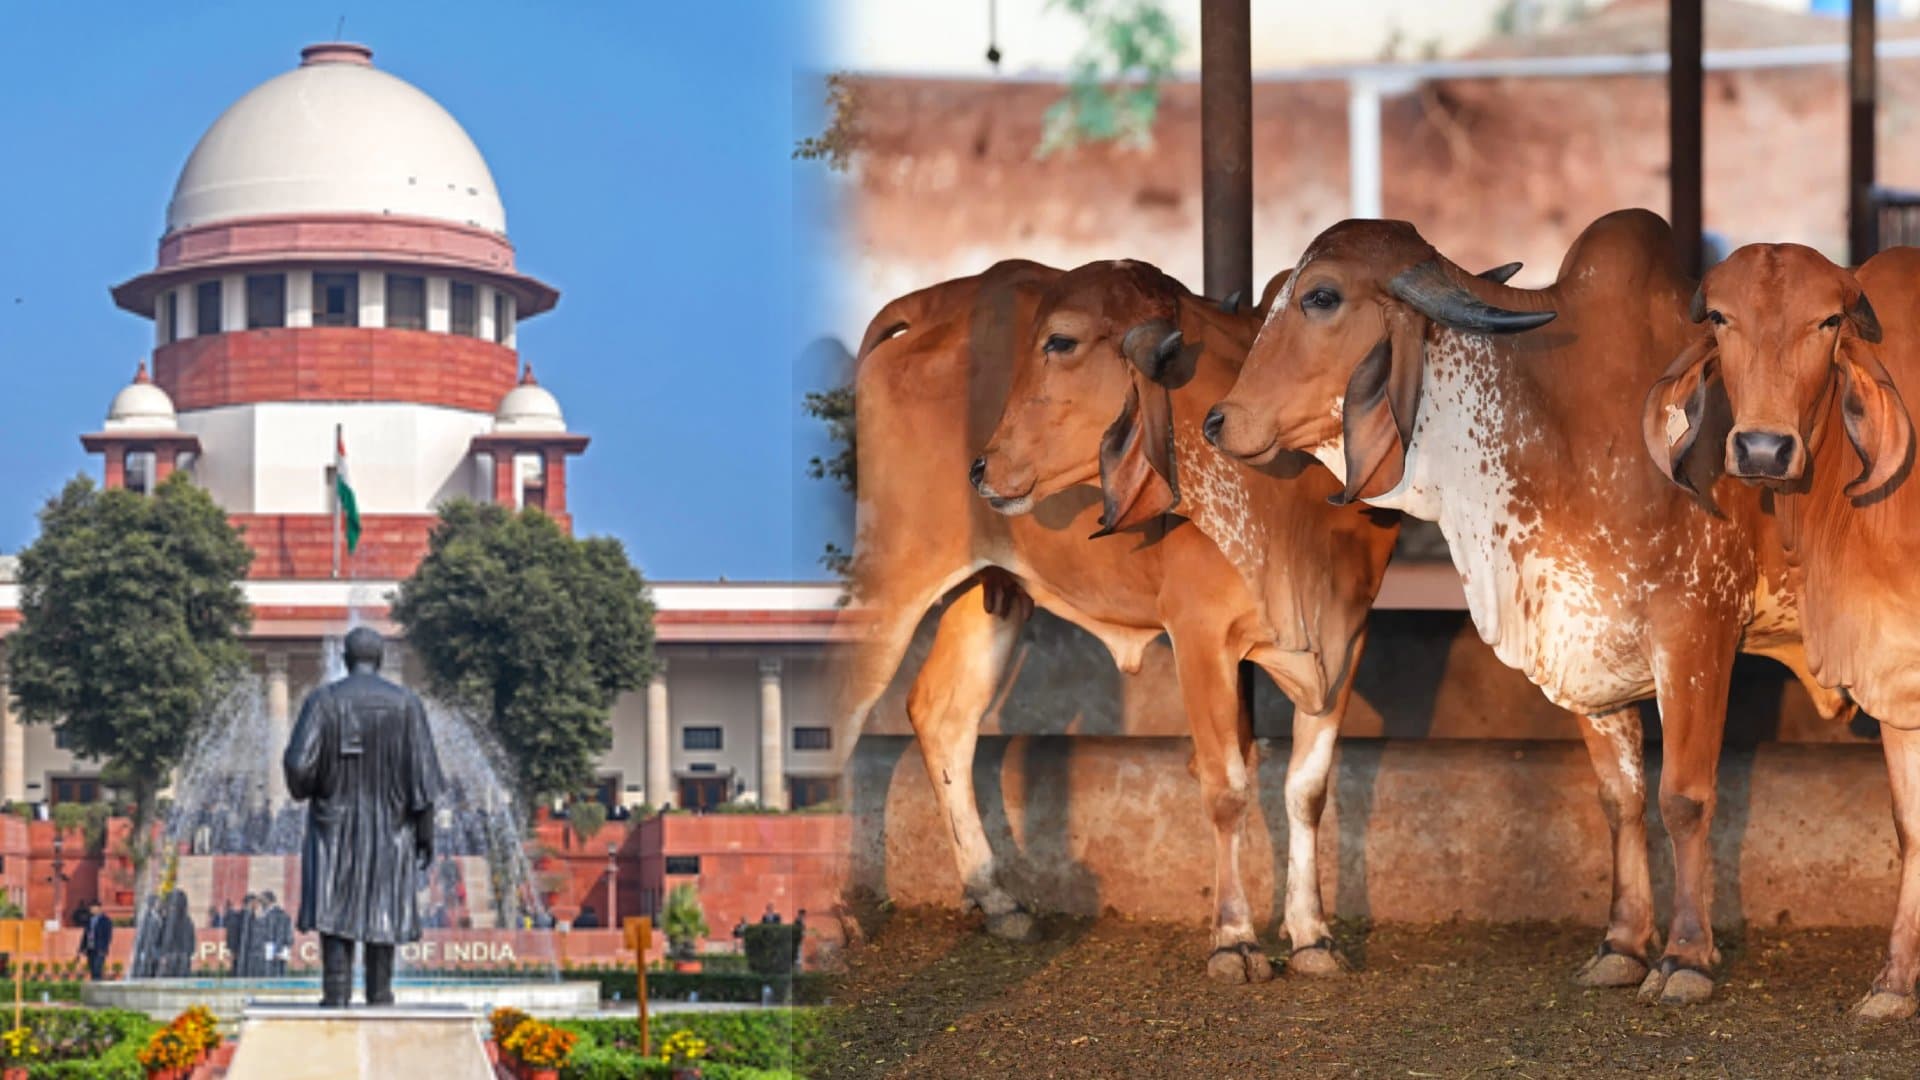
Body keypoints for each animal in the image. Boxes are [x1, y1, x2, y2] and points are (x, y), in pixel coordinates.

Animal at [1202, 209, 1846, 1004]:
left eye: (1321, 296)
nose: (1218, 421)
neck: (1561, 418)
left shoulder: (1697, 632)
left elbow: (1684, 798)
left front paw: (1687, 958)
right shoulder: (1587, 644)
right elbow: (1621, 797)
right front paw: (1622, 945)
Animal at [1641, 242, 1920, 1020]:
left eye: (1827, 321)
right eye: (1720, 318)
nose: (1764, 450)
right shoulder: (1893, 669)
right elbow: (1910, 824)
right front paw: (1895, 983)